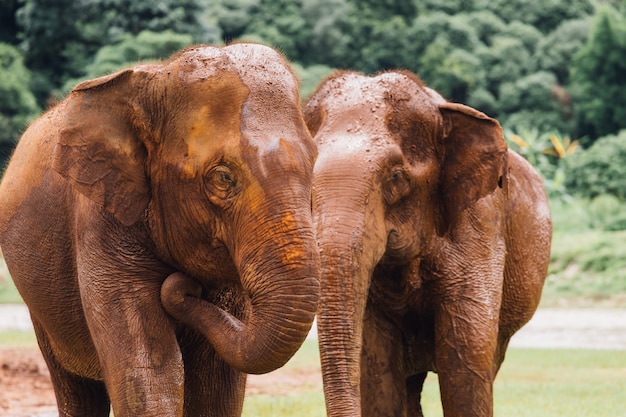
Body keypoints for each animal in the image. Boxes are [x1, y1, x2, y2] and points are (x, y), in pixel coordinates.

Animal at [0, 43, 320, 416]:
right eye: (223, 178)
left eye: (314, 162)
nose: (184, 287)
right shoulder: (100, 219)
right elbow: (150, 372)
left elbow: (216, 387)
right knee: (74, 388)